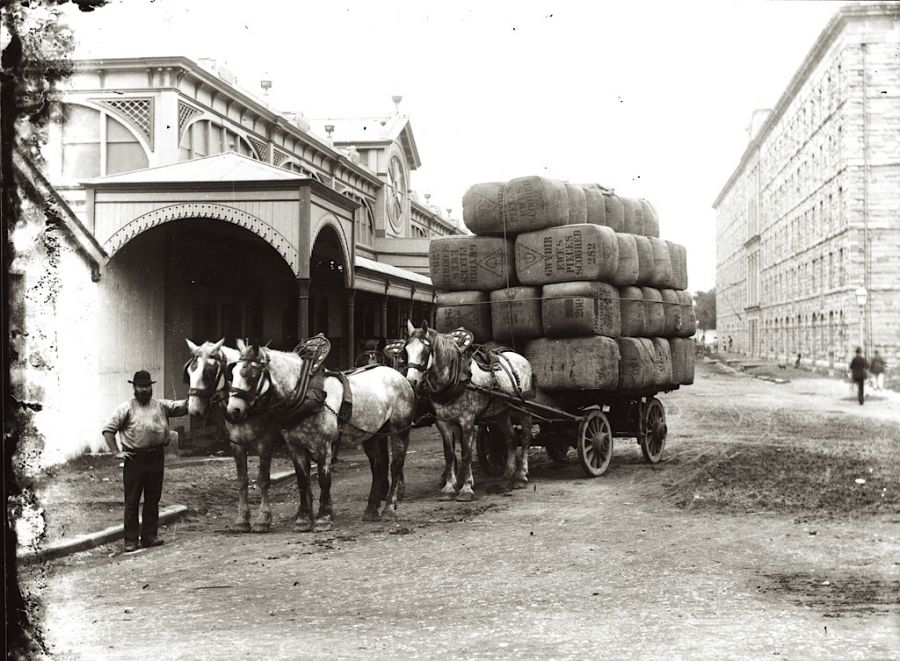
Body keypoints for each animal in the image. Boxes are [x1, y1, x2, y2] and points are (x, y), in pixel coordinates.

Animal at [394, 320, 536, 500]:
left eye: (425, 351)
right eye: (406, 351)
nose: (411, 381)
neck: (456, 379)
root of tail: (522, 358)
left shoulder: (467, 420)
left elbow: (466, 453)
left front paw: (466, 488)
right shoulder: (443, 421)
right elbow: (449, 453)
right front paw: (449, 487)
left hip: (523, 408)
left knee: (525, 438)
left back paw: (521, 476)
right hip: (501, 412)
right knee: (510, 439)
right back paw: (508, 475)